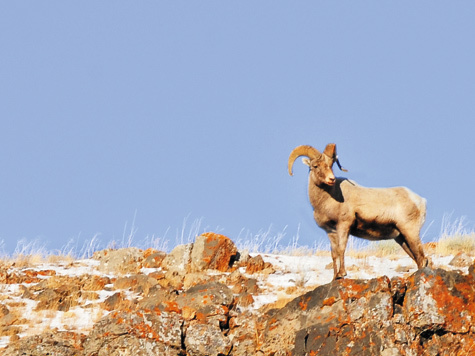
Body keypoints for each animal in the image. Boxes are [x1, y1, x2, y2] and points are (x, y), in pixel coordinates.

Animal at [288, 143, 430, 280]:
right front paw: (335, 277)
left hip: (410, 232)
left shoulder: (343, 226)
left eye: (331, 165)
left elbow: (341, 249)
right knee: (418, 258)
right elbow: (334, 254)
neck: (328, 199)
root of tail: (420, 201)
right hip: (401, 238)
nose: (331, 179)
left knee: (422, 259)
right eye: (315, 166)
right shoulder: (330, 232)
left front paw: (342, 274)